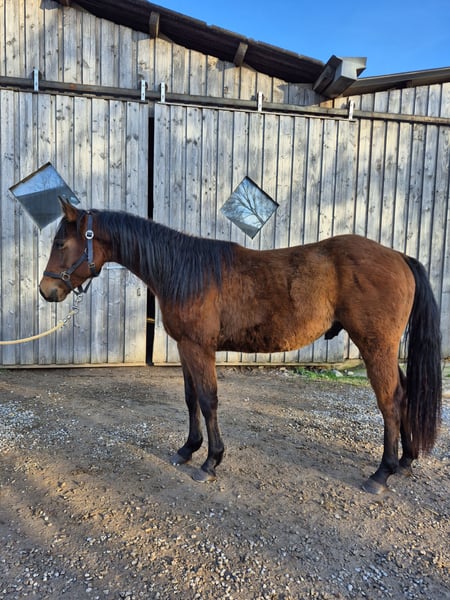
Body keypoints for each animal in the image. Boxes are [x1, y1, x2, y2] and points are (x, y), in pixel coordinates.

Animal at [39, 199, 442, 494]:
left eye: (60, 243)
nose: (47, 291)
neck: (183, 270)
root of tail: (399, 257)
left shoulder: (199, 348)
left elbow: (208, 400)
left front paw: (210, 461)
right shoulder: (186, 348)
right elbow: (191, 399)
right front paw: (188, 449)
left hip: (376, 347)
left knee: (390, 401)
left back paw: (382, 473)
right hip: (383, 348)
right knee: (405, 393)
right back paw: (406, 461)